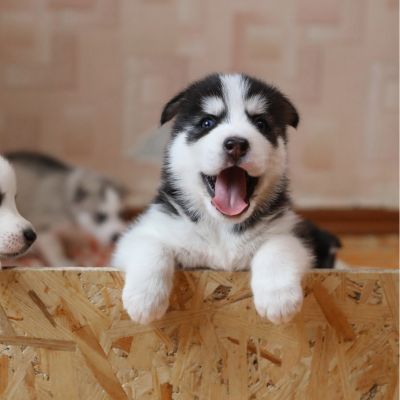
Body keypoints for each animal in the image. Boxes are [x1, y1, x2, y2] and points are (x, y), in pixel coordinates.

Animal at [112, 73, 340, 324]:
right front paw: (144, 299)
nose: (236, 144)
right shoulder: (146, 230)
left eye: (261, 124)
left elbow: (278, 246)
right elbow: (151, 246)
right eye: (207, 123)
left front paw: (278, 299)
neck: (223, 228)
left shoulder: (292, 233)